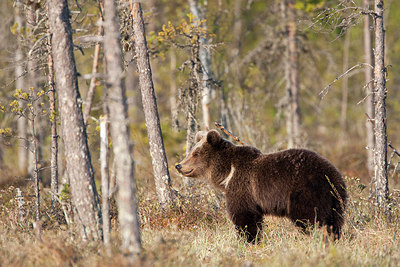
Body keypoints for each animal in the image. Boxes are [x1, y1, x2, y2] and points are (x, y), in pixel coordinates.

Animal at [175, 130, 346, 243]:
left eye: (196, 154)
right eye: (191, 152)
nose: (179, 165)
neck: (227, 172)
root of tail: (332, 176)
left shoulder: (242, 186)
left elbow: (244, 216)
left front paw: (248, 240)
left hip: (305, 193)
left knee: (310, 220)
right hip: (335, 200)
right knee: (334, 223)